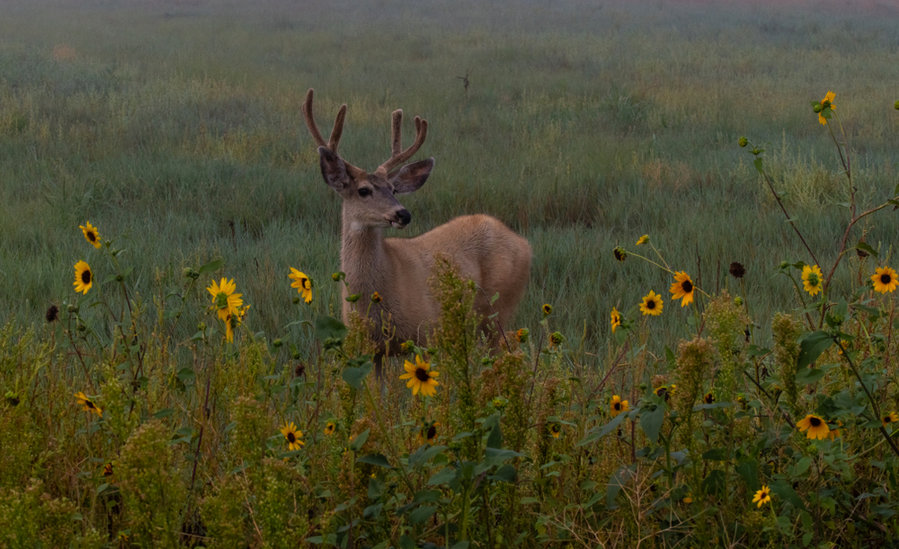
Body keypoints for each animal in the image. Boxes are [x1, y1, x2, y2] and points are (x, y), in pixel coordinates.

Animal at [302, 90, 532, 356]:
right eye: (363, 190)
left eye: (393, 189)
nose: (403, 214)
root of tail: (525, 244)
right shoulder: (369, 346)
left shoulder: (426, 331)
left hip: (499, 309)